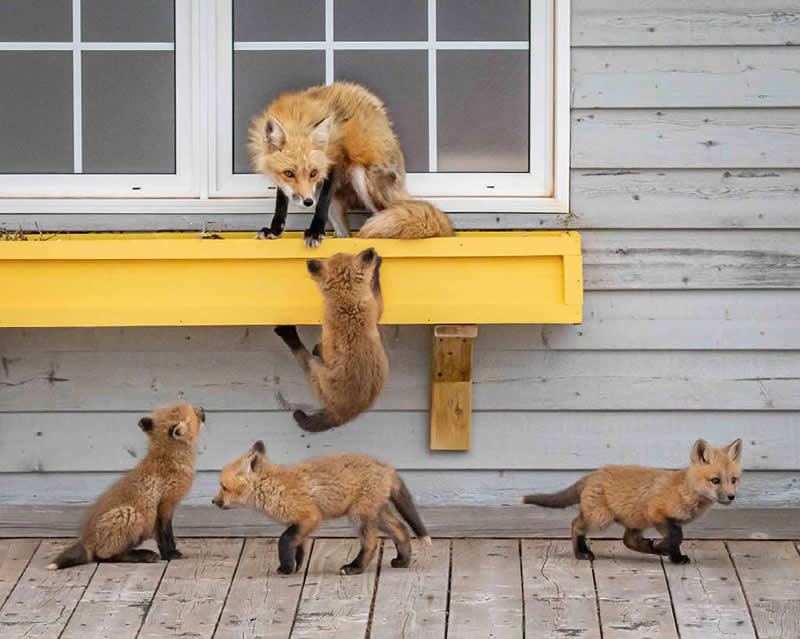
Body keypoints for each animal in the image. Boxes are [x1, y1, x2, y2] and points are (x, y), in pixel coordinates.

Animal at [48, 403, 204, 570]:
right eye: (194, 414)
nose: (202, 409)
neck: (169, 460)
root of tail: (86, 538)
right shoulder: (165, 505)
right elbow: (165, 535)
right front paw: (170, 555)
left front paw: (171, 553)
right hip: (131, 515)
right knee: (104, 557)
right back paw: (144, 555)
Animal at [212, 441, 431, 575]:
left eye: (224, 487)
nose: (214, 502)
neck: (275, 486)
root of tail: (387, 467)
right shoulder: (299, 523)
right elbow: (299, 546)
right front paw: (296, 566)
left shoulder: (310, 517)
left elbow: (284, 540)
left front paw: (285, 567)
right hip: (377, 513)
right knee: (401, 530)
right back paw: (402, 561)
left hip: (360, 516)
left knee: (371, 544)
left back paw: (355, 567)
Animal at [249, 81, 454, 247]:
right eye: (289, 173)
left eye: (314, 173)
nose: (308, 202)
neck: (298, 119)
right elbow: (281, 203)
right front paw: (275, 231)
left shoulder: (337, 161)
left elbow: (322, 203)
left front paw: (315, 232)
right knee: (345, 235)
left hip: (360, 174)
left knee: (384, 216)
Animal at [274, 247, 388, 433]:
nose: (372, 251)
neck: (348, 305)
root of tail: (347, 413)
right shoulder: (375, 308)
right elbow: (376, 293)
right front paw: (376, 264)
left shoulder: (327, 339)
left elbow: (322, 348)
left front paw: (317, 348)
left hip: (315, 371)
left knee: (302, 356)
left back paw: (289, 334)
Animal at [521, 438, 743, 564]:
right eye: (715, 480)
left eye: (733, 480)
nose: (731, 496)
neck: (684, 491)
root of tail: (593, 473)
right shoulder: (657, 513)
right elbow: (676, 537)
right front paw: (664, 548)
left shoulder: (669, 520)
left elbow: (676, 541)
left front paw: (675, 557)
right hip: (600, 518)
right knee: (576, 525)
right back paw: (581, 553)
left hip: (635, 520)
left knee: (628, 540)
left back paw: (649, 547)